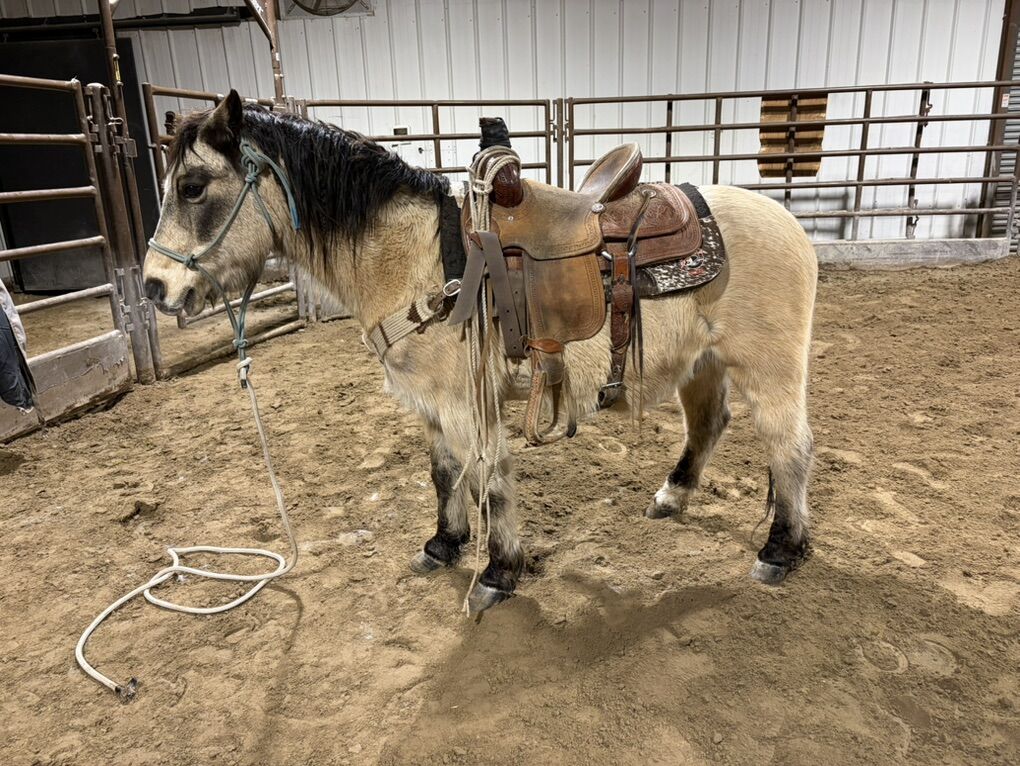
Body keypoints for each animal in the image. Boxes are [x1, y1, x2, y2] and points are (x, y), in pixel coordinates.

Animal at [142, 91, 818, 614]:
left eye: (193, 186)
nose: (153, 286)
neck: (417, 257)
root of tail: (788, 222)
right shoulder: (430, 407)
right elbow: (446, 474)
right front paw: (443, 544)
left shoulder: (466, 405)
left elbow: (489, 478)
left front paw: (498, 571)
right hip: (702, 364)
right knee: (708, 424)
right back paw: (672, 496)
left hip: (770, 369)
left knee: (790, 445)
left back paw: (781, 549)